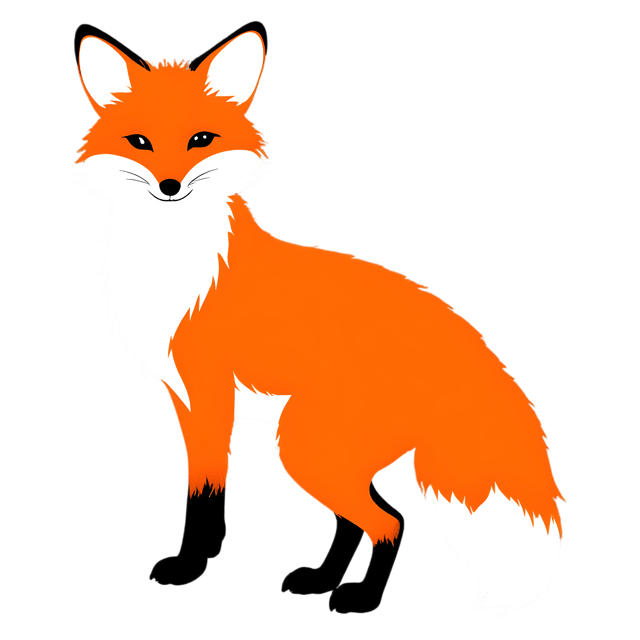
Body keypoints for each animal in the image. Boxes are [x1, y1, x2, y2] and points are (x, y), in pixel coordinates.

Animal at [72, 21, 565, 618]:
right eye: (139, 142)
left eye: (201, 140)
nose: (170, 186)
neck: (173, 263)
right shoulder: (186, 401)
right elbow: (202, 491)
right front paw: (203, 558)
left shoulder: (210, 396)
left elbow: (206, 499)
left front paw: (192, 565)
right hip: (324, 454)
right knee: (357, 522)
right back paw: (322, 579)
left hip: (305, 449)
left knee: (389, 522)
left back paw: (362, 599)